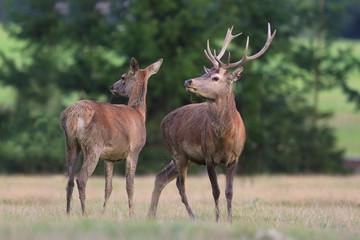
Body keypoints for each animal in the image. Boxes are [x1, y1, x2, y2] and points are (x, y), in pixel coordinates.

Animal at [60, 57, 163, 216]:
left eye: (123, 77)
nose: (111, 86)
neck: (139, 113)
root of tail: (74, 114)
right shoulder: (134, 149)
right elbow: (130, 185)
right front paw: (132, 214)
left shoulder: (109, 157)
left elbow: (108, 188)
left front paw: (104, 213)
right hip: (93, 145)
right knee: (81, 178)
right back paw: (84, 213)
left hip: (70, 144)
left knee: (69, 180)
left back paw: (68, 213)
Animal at [147, 23, 276, 221]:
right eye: (204, 73)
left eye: (216, 78)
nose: (188, 80)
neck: (225, 138)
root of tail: (163, 121)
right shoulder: (208, 157)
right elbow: (215, 191)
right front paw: (217, 219)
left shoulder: (235, 158)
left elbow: (229, 191)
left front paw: (230, 219)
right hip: (177, 152)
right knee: (180, 186)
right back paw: (192, 217)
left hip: (187, 158)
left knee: (161, 177)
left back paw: (150, 215)